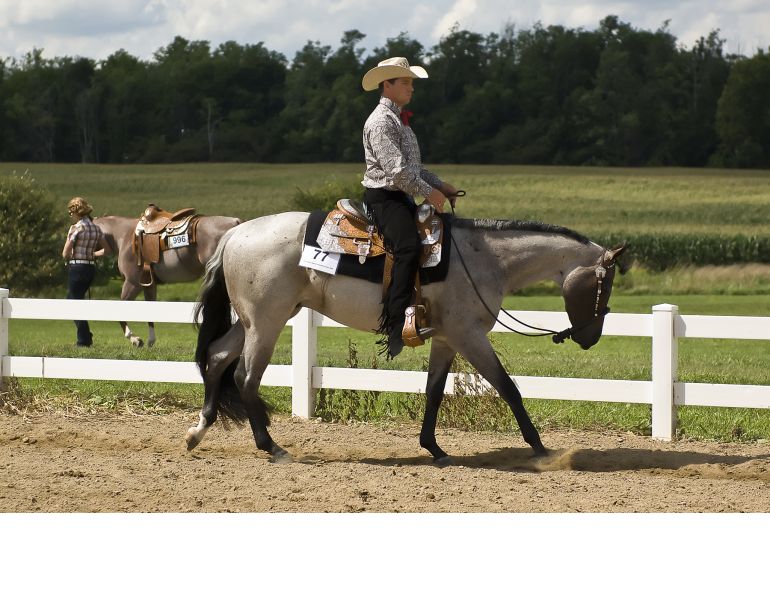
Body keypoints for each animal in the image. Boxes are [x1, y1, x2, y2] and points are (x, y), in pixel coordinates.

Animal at [94, 214, 240, 347]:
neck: (123, 236)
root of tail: (235, 222)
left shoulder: (132, 283)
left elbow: (120, 309)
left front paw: (135, 339)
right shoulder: (149, 285)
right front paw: (150, 340)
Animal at [186, 211, 626, 465]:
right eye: (604, 286)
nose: (590, 337)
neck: (486, 258)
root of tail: (235, 235)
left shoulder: (447, 339)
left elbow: (433, 391)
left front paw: (434, 448)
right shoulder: (469, 336)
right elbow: (508, 388)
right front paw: (541, 449)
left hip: (252, 322)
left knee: (217, 359)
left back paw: (198, 432)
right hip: (267, 322)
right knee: (245, 377)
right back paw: (272, 448)